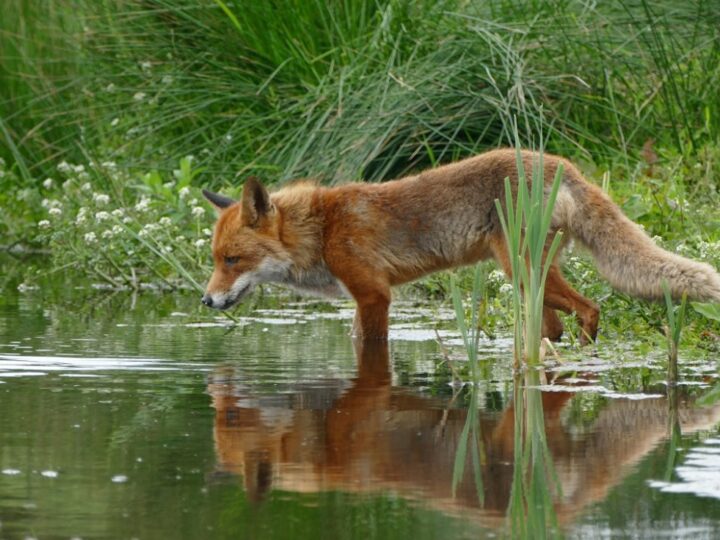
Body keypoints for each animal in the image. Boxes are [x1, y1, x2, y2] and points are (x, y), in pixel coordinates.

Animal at [200, 148, 720, 342]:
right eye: (215, 260)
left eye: (233, 260)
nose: (205, 301)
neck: (322, 229)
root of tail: (561, 164)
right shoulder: (364, 298)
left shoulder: (374, 295)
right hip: (530, 280)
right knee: (556, 325)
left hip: (521, 271)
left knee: (591, 309)